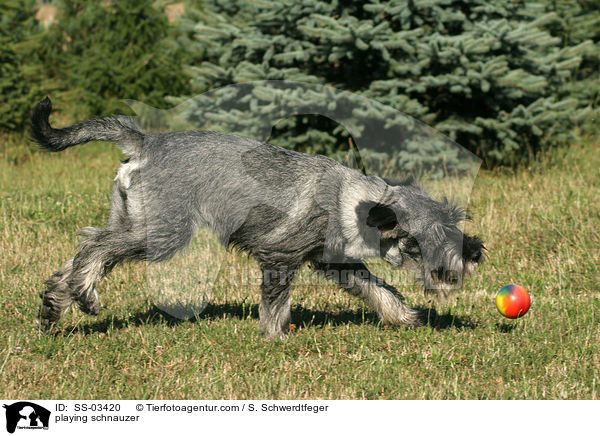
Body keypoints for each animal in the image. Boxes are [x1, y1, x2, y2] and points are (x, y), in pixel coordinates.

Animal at [31, 97, 482, 338]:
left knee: (78, 255)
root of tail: (145, 143)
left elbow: (379, 290)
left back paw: (54, 309)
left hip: (133, 220)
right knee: (94, 247)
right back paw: (84, 295)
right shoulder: (280, 257)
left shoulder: (336, 264)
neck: (354, 202)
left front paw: (405, 317)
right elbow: (276, 302)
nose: (474, 253)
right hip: (163, 235)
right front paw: (276, 337)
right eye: (432, 235)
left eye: (454, 220)